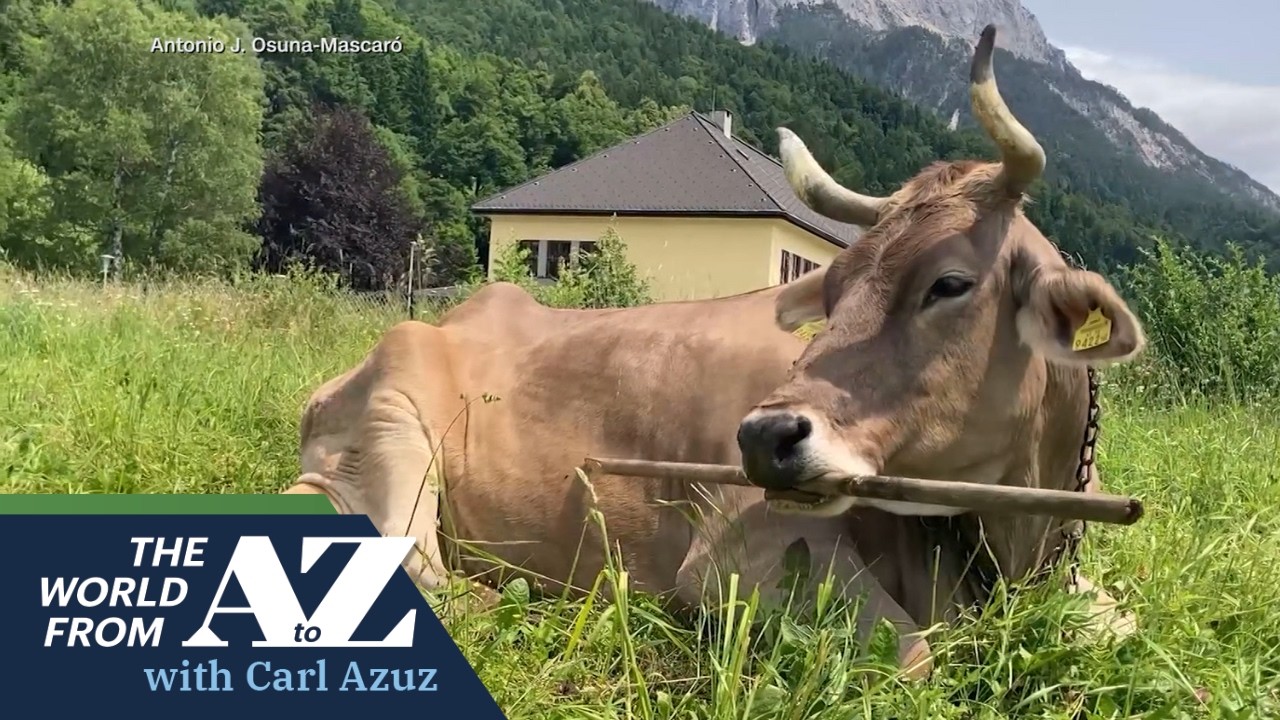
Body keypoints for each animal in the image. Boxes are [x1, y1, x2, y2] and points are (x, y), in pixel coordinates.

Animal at [283, 25, 1145, 679]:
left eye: (952, 283)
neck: (1012, 541)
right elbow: (914, 658)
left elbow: (1124, 627)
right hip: (392, 439)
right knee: (420, 571)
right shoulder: (737, 555)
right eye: (834, 293)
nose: (763, 437)